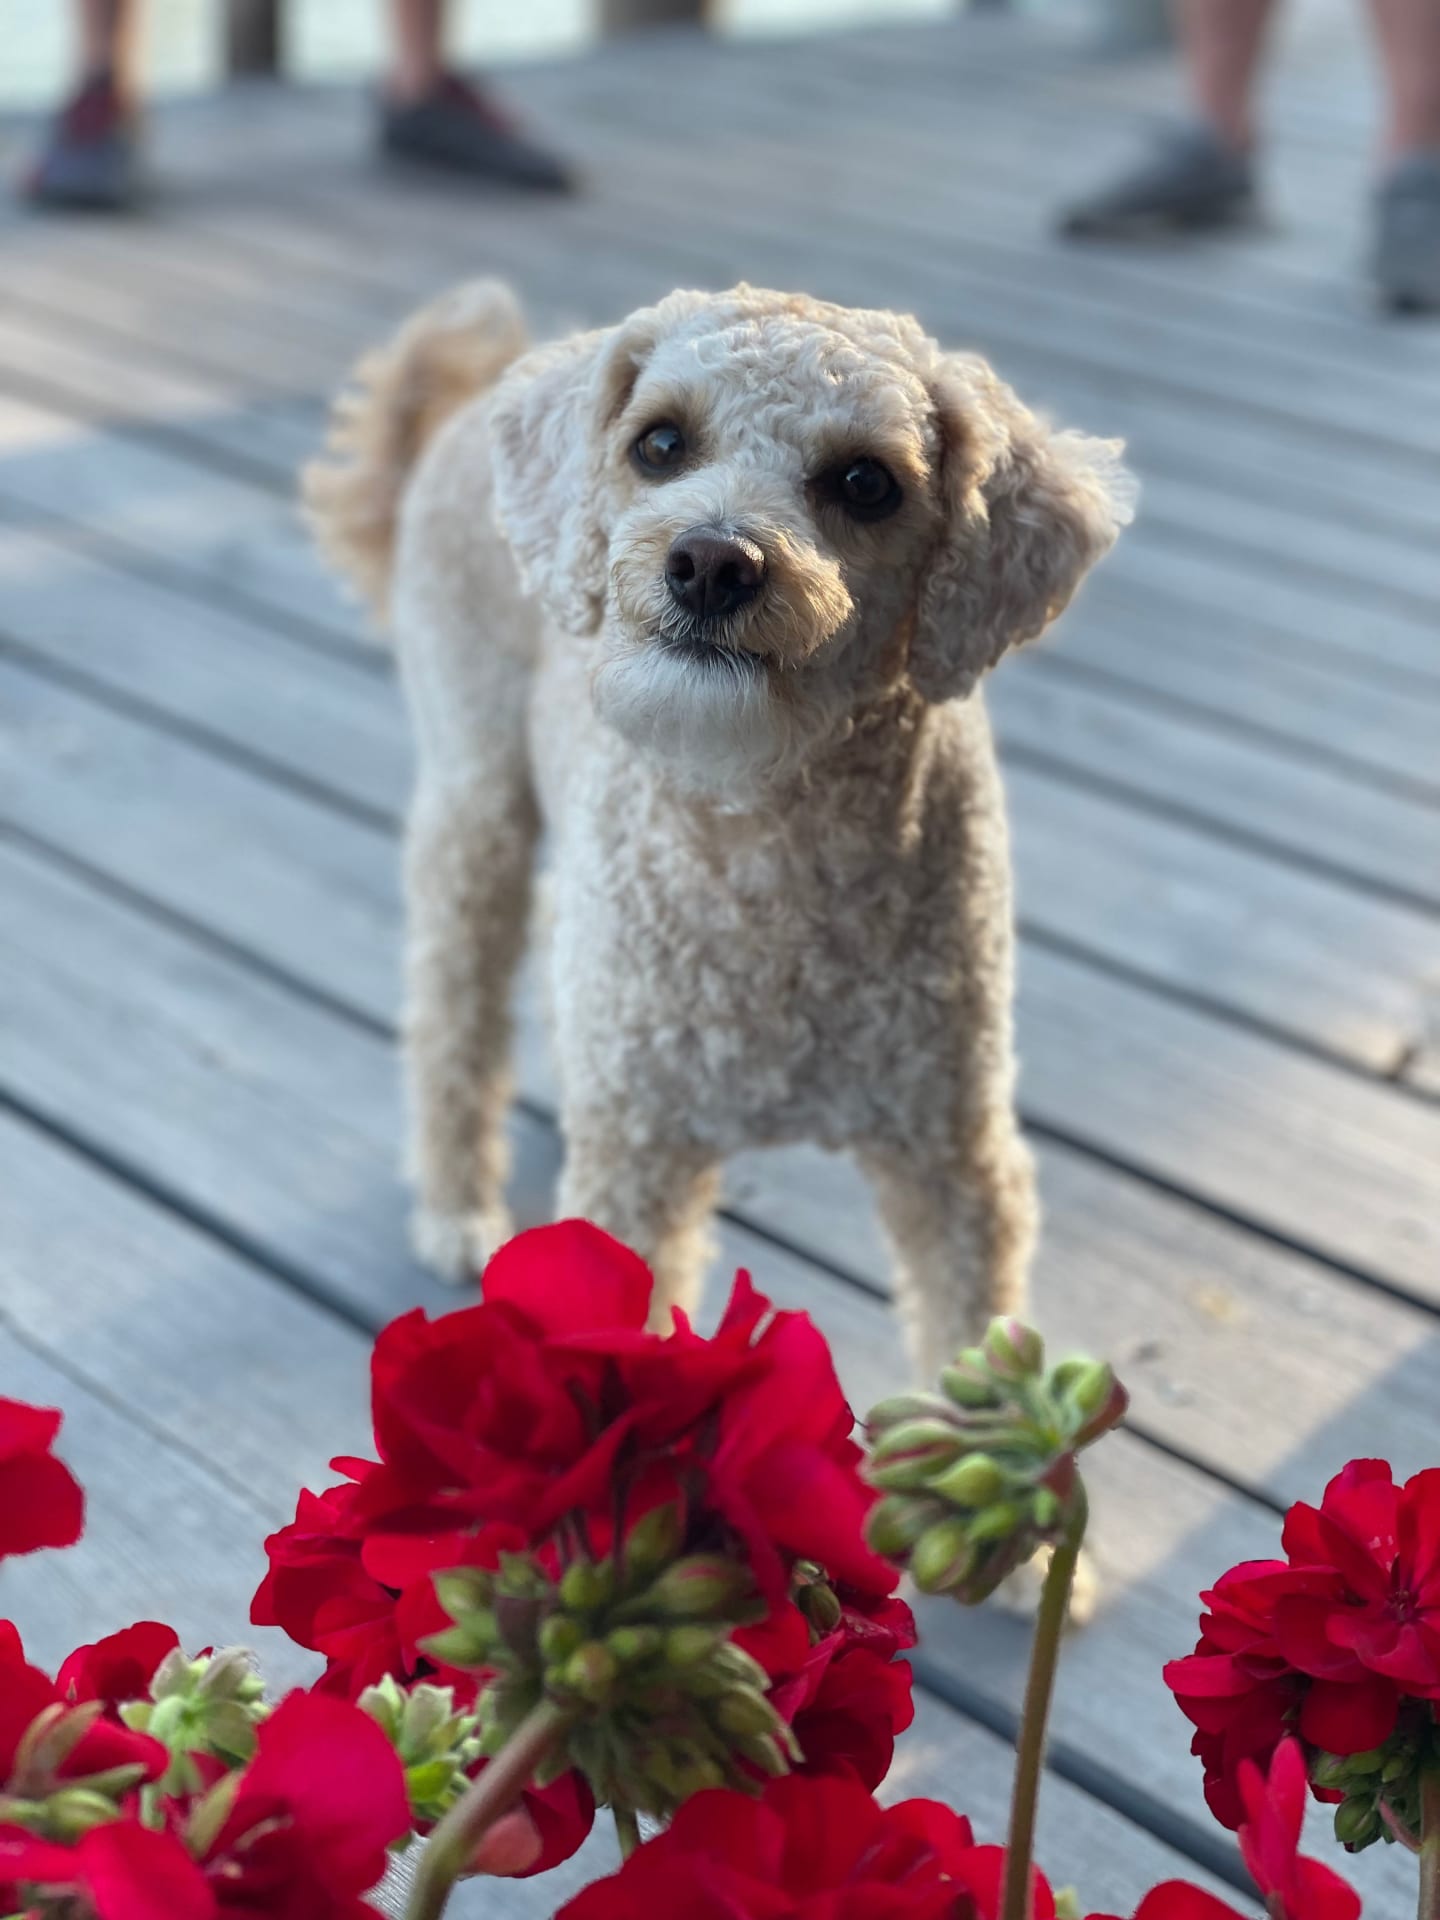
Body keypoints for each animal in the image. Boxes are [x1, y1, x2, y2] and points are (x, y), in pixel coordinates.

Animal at [307, 278, 1136, 1374]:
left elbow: (970, 1342)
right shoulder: (639, 1168)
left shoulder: (953, 1158)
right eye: (659, 443)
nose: (710, 561)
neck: (765, 835)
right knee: (451, 1016)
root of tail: (467, 406)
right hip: (473, 803)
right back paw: (454, 1210)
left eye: (867, 482)